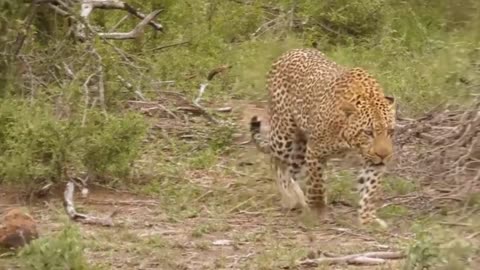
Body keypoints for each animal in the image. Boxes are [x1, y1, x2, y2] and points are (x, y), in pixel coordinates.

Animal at [249, 48, 396, 228]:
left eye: (390, 131)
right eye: (368, 132)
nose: (384, 155)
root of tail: (288, 52)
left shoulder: (372, 162)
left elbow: (369, 190)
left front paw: (367, 219)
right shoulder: (315, 151)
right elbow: (317, 184)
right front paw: (317, 212)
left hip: (300, 145)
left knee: (291, 169)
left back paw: (297, 195)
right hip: (284, 133)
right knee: (276, 162)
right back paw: (290, 197)